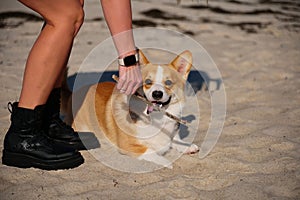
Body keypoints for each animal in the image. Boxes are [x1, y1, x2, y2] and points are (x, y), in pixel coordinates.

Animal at [61, 49, 198, 167]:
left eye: (168, 83)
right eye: (148, 82)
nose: (157, 94)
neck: (156, 119)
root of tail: (72, 94)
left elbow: (175, 140)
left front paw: (187, 146)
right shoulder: (128, 145)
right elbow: (150, 151)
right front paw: (166, 162)